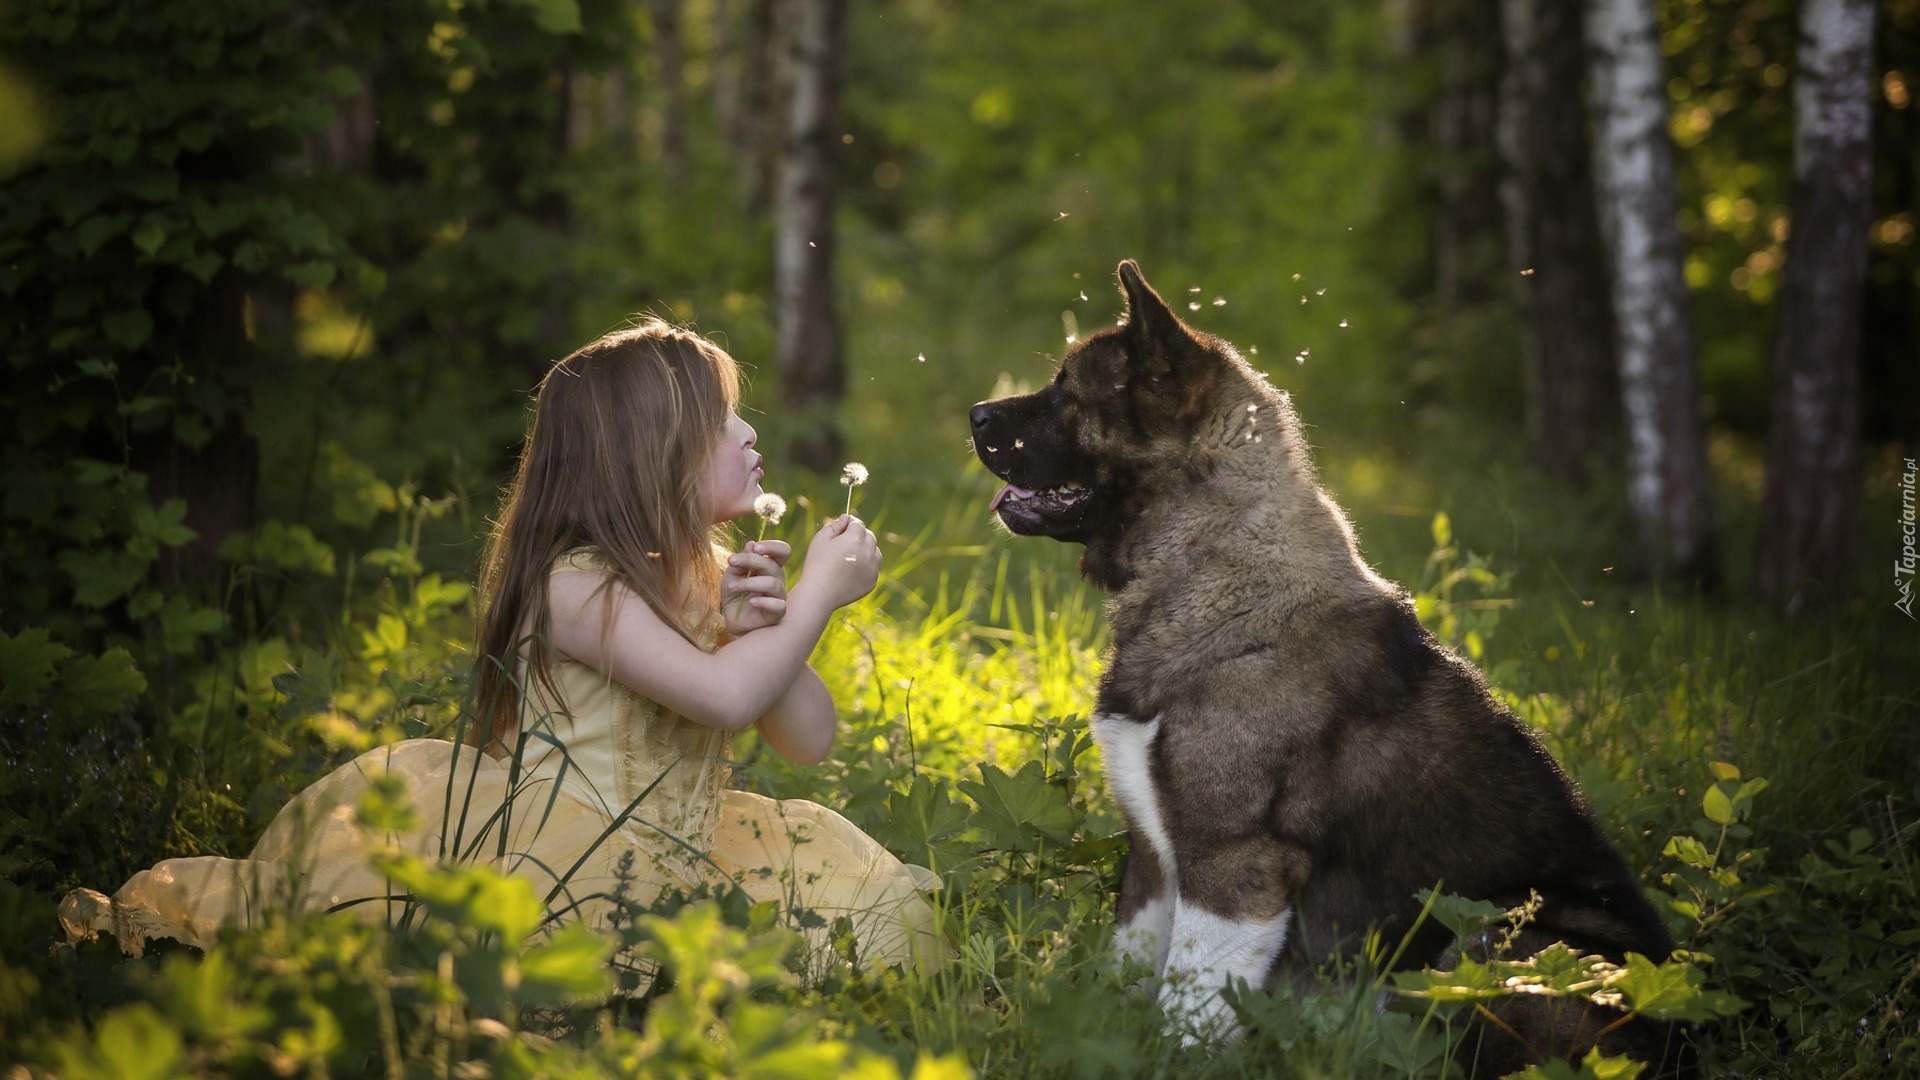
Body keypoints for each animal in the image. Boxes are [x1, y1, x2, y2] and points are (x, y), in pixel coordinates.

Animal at [975, 259, 1681, 1068]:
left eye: (1066, 392)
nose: (975, 414)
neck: (1212, 567)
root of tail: (1682, 1041)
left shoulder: (1236, 866)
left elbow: (1187, 1005)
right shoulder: (1154, 862)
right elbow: (1127, 975)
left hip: (1494, 943)